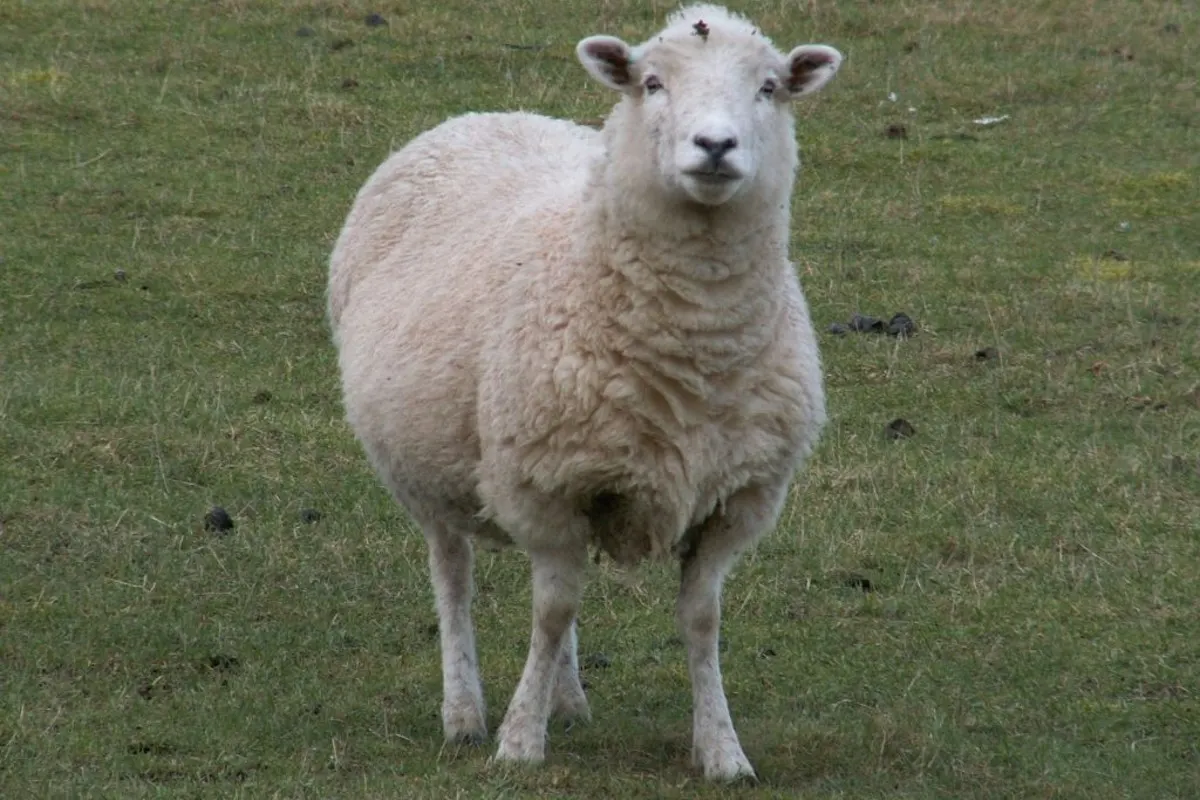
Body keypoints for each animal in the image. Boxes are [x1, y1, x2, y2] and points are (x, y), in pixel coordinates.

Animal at [327, 3, 842, 782]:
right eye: (652, 83)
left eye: (770, 87)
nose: (715, 145)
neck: (696, 346)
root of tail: (486, 114)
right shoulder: (543, 483)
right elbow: (550, 613)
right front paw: (518, 742)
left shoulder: (735, 499)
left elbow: (699, 620)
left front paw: (722, 750)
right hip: (427, 470)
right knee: (454, 577)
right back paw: (464, 713)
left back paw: (567, 700)